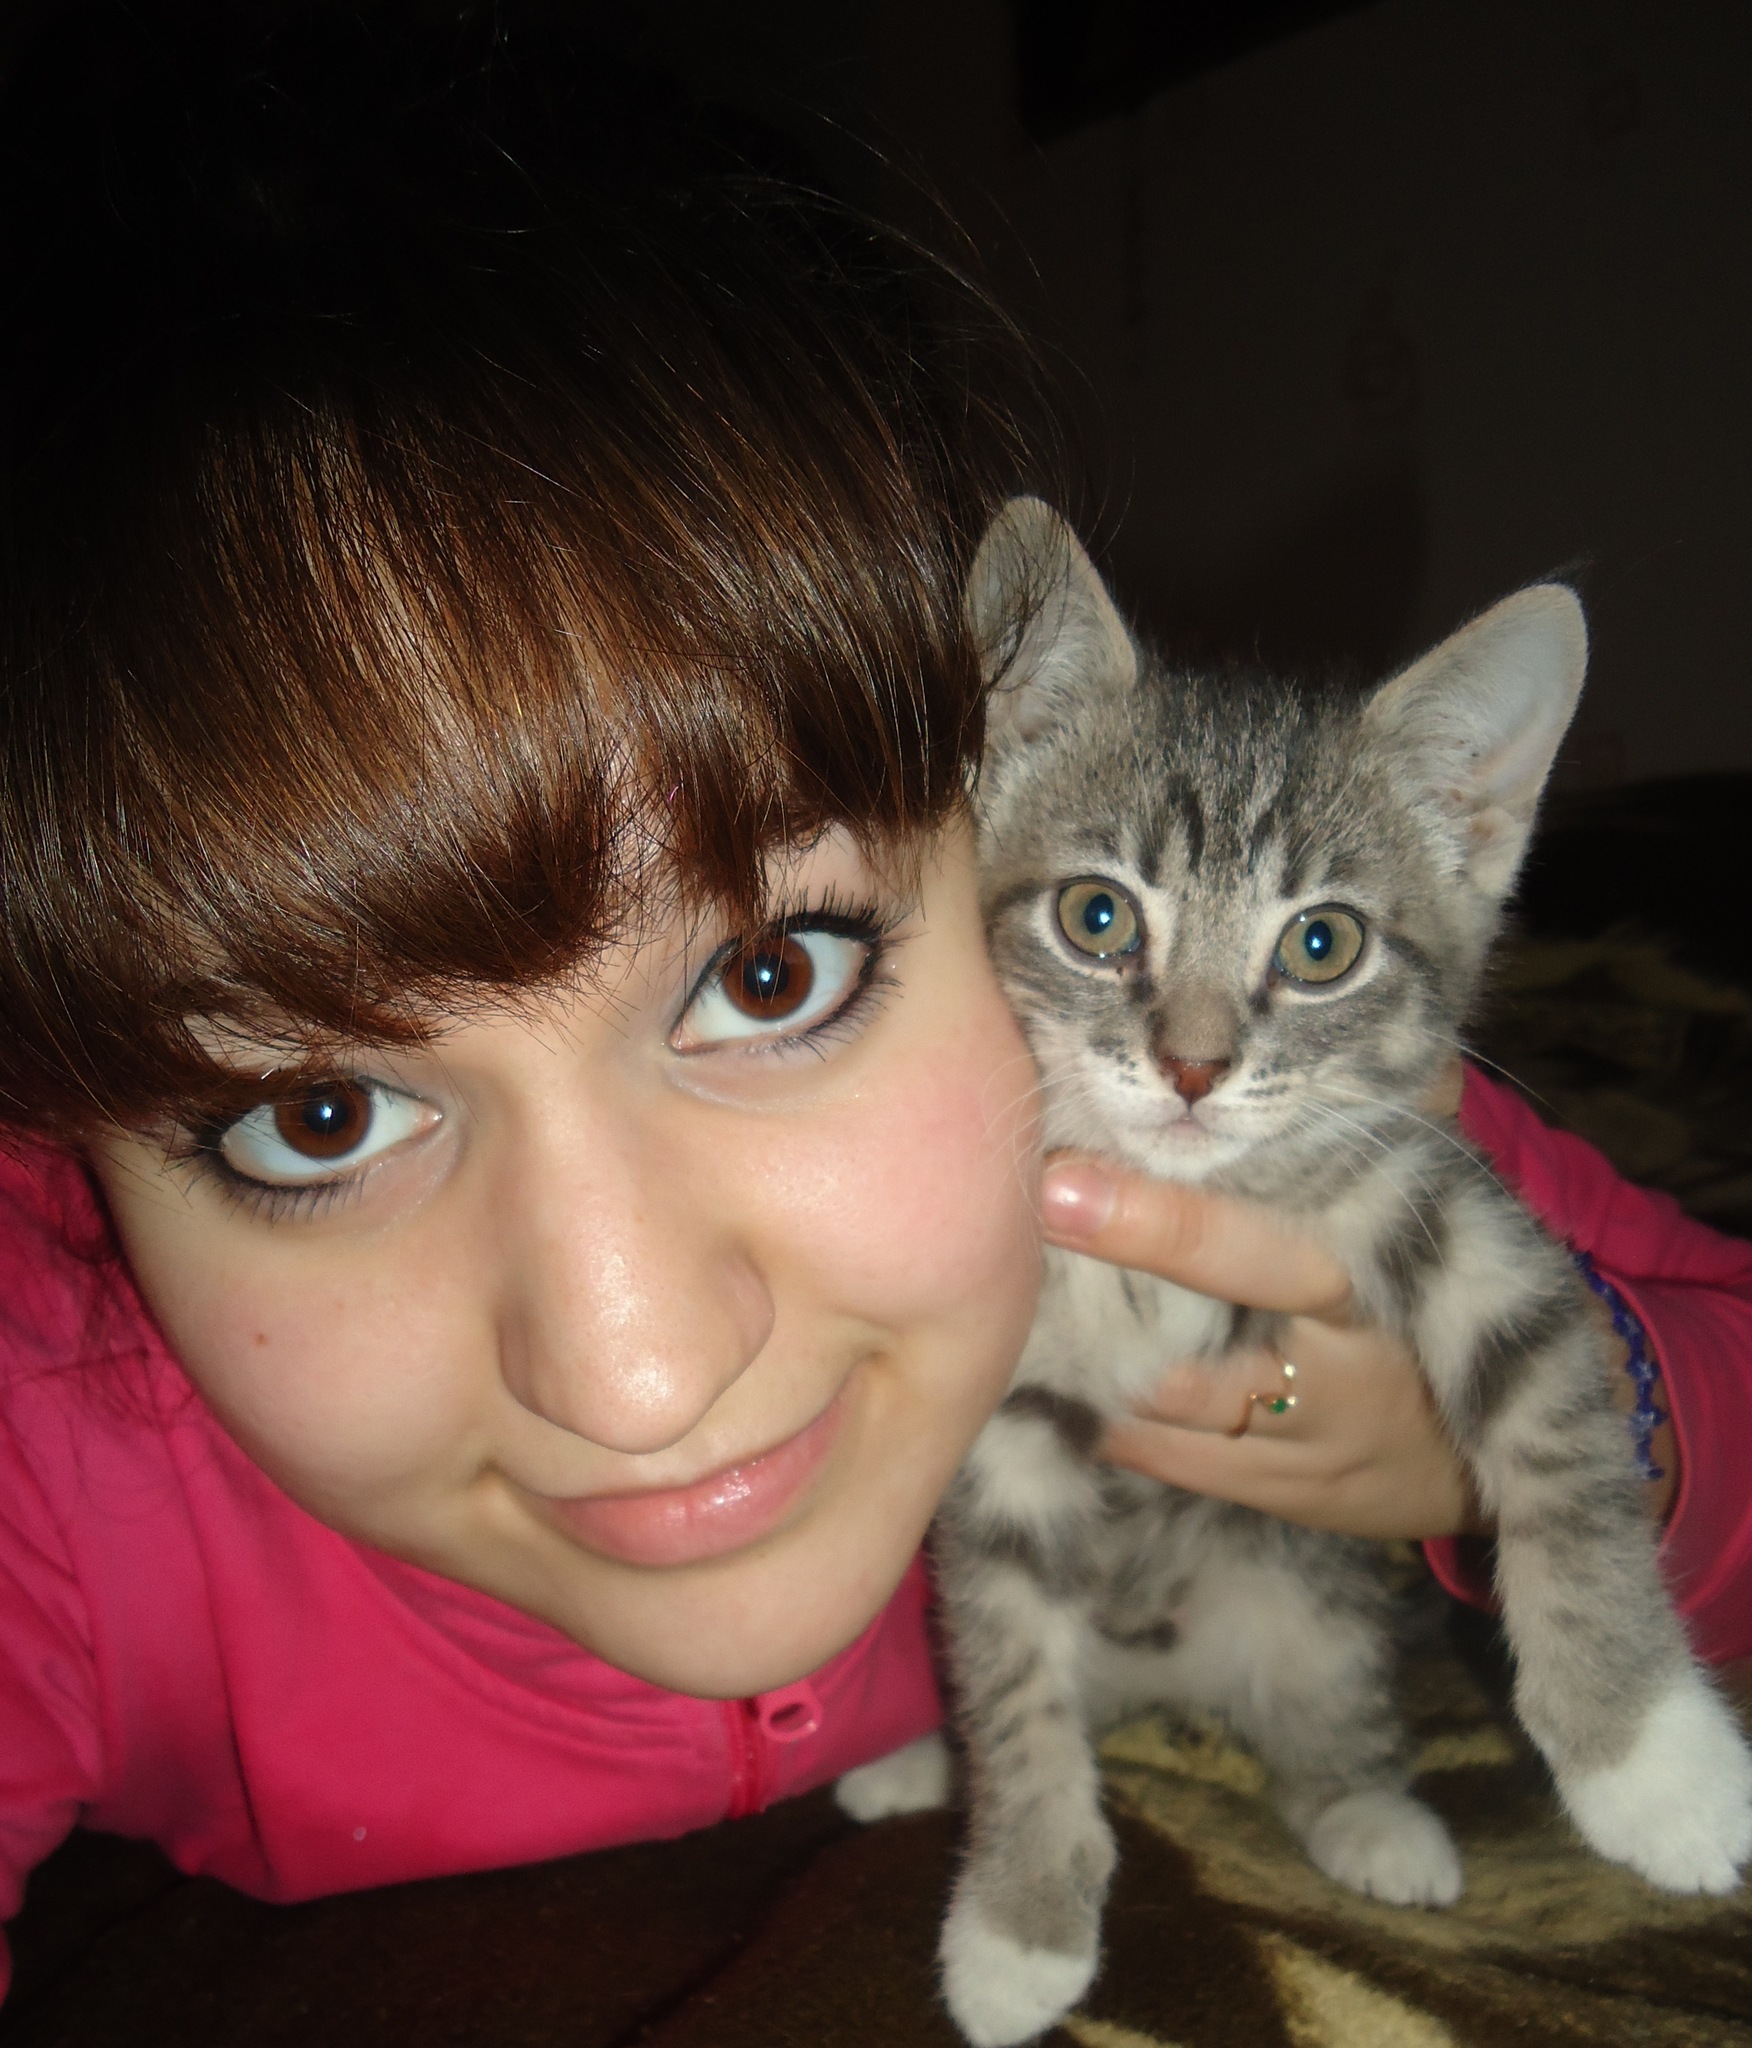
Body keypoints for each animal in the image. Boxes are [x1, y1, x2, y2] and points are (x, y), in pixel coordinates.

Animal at [835, 498, 1752, 2048]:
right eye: (1096, 917)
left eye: (1322, 944)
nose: (1195, 1067)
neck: (1165, 1204)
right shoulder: (999, 1401)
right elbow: (1006, 1653)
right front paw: (1021, 1912)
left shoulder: (1451, 1212)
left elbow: (1563, 1451)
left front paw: (1654, 1767)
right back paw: (917, 1761)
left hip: (1317, 1600)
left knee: (1337, 1708)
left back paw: (1375, 1819)